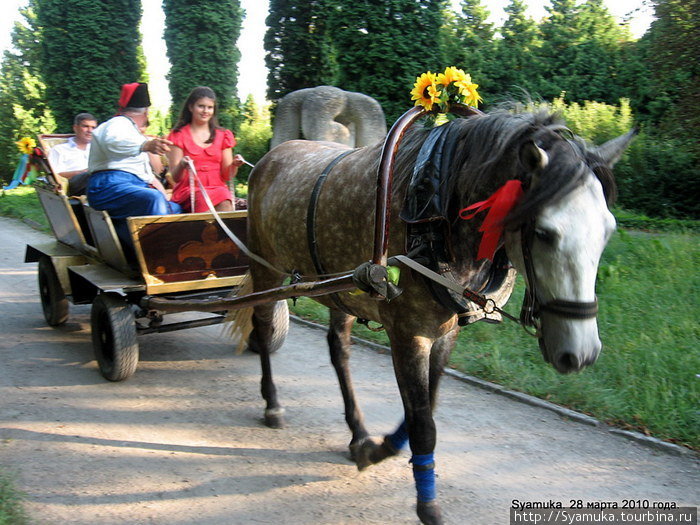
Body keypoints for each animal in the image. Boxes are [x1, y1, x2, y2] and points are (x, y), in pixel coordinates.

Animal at [241, 107, 636, 524]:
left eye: (607, 231)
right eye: (545, 232)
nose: (582, 353)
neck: (435, 216)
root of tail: (271, 155)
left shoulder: (445, 333)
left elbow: (424, 409)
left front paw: (379, 448)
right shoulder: (408, 334)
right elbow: (423, 423)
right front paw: (426, 503)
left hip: (344, 290)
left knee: (339, 350)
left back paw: (358, 431)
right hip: (265, 268)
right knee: (263, 328)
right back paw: (272, 403)